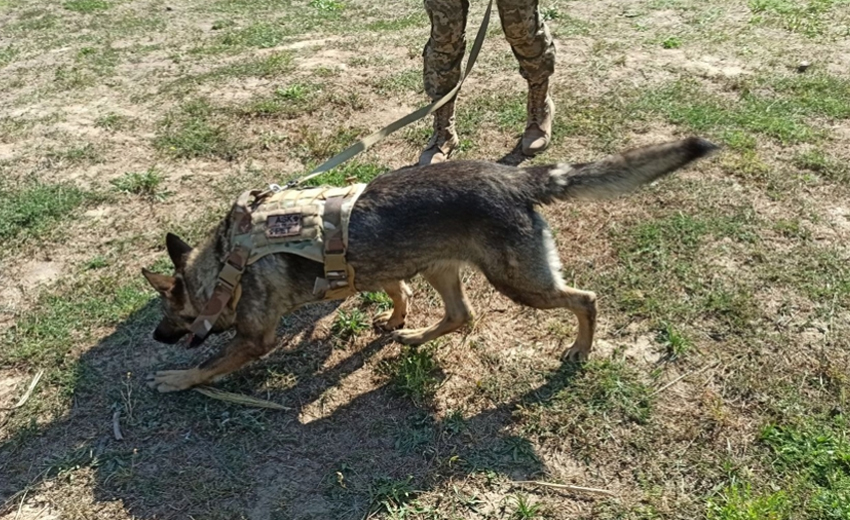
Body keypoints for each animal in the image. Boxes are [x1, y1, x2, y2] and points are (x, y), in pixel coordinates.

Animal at [142, 136, 712, 392]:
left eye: (174, 315)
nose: (155, 338)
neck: (227, 263)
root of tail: (516, 178)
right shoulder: (386, 269)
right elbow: (399, 292)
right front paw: (396, 318)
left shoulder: (254, 339)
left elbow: (211, 364)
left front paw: (176, 378)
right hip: (444, 269)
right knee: (461, 315)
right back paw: (414, 336)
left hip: (520, 283)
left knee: (584, 299)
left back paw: (579, 348)